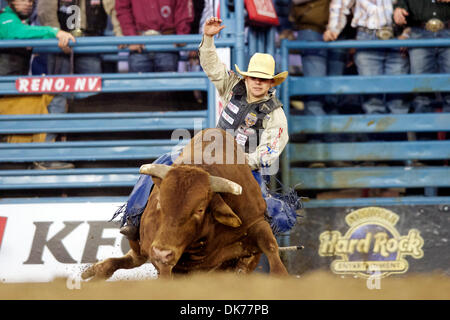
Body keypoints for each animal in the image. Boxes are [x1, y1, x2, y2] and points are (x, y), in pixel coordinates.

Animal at [81, 129, 288, 278]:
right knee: (133, 258)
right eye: (159, 203)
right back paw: (96, 270)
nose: (162, 253)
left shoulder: (255, 221)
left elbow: (270, 248)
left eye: (200, 209)